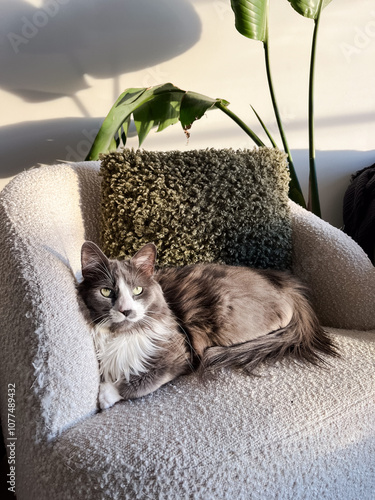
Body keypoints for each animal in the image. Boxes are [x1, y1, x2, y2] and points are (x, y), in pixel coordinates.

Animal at [78, 242, 336, 410]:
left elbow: (141, 383)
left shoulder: (178, 355)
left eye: (137, 290)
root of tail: (286, 287)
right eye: (106, 292)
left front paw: (106, 394)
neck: (123, 335)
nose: (125, 310)